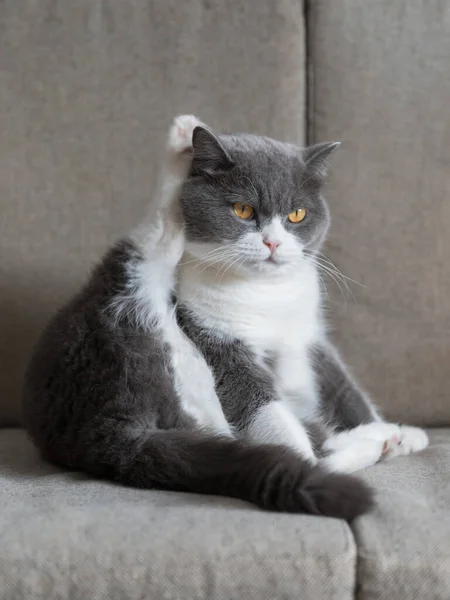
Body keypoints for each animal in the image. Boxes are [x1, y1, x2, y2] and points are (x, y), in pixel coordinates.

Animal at [23, 116, 428, 520]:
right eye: (243, 210)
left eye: (296, 214)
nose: (272, 242)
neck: (264, 295)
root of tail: (103, 430)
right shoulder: (215, 338)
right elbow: (264, 406)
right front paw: (310, 459)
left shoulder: (308, 336)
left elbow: (345, 390)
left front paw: (396, 430)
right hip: (127, 310)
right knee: (156, 239)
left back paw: (385, 438)